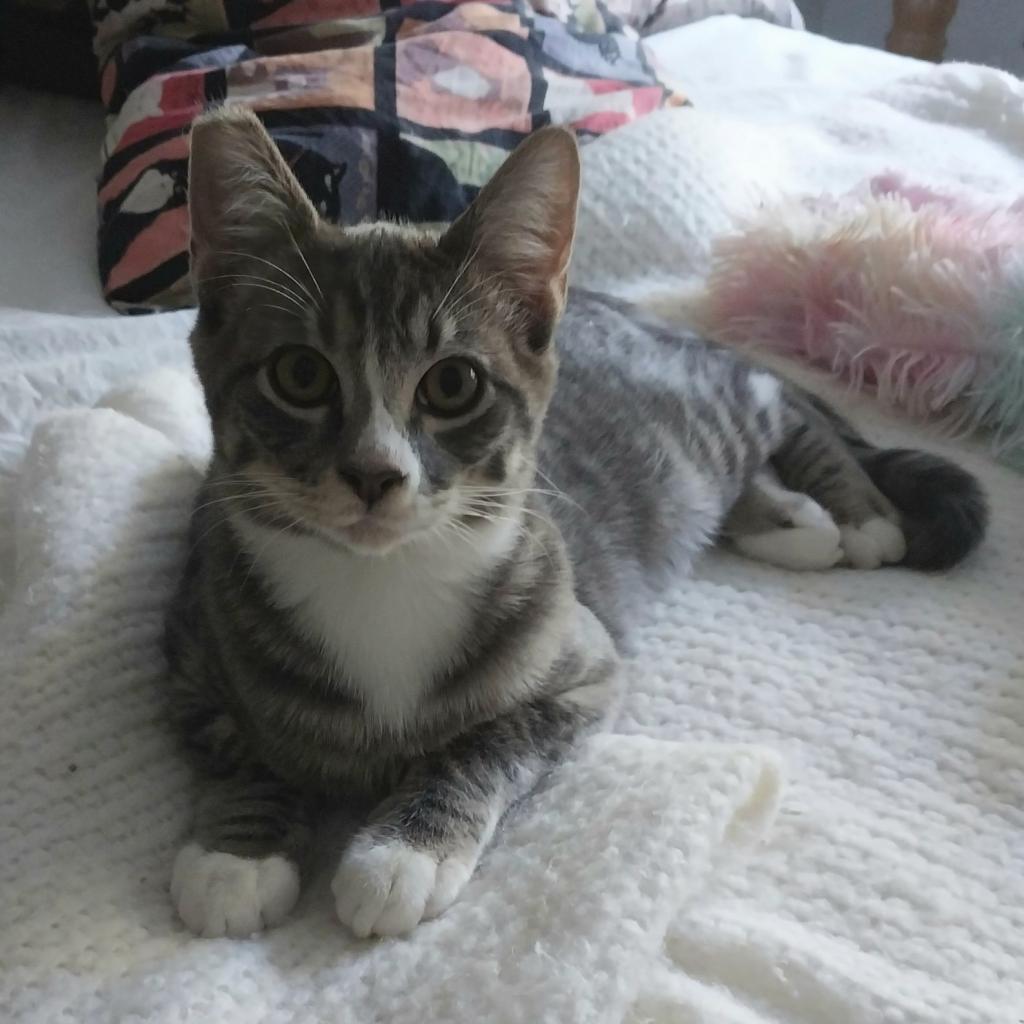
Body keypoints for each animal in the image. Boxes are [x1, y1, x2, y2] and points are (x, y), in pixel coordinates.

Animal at [163, 108, 987, 937]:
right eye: (300, 374)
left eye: (453, 384)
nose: (374, 473)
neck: (379, 582)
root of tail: (627, 310)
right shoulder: (193, 641)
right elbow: (235, 742)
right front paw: (240, 850)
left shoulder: (583, 669)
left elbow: (488, 741)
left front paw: (404, 851)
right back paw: (788, 518)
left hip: (704, 412)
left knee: (777, 398)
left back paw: (859, 514)